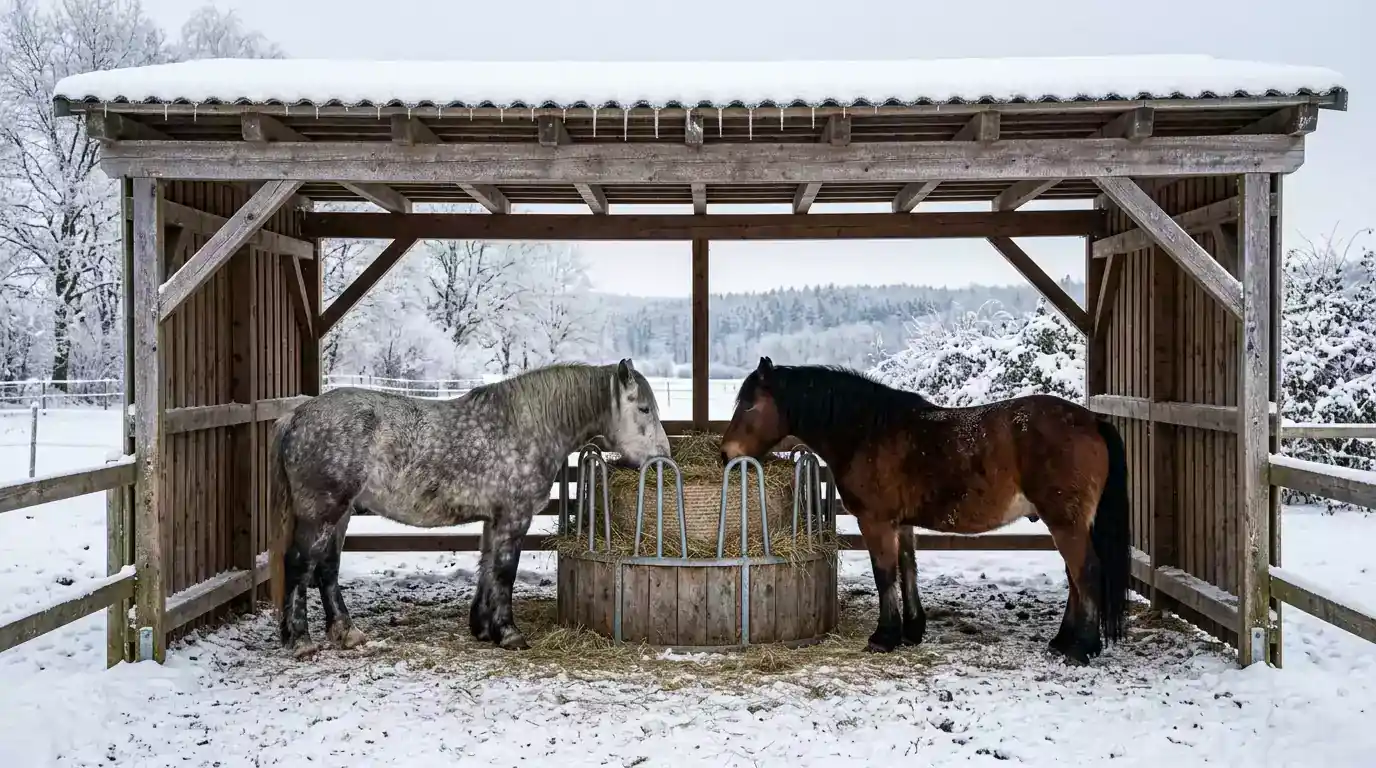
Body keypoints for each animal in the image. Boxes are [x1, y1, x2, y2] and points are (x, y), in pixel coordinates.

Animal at [268, 359, 671, 658]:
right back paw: (301, 641)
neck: (527, 426)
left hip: (340, 514)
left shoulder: (494, 520)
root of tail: (296, 415)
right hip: (322, 513)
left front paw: (482, 627)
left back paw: (347, 633)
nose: (663, 458)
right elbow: (505, 573)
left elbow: (487, 569)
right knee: (300, 564)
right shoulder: (513, 518)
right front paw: (509, 633)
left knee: (327, 568)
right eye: (643, 408)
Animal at [719, 357, 1129, 666]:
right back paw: (1063, 641)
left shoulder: (876, 522)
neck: (868, 431)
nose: (725, 454)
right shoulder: (901, 525)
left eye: (750, 404)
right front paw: (912, 630)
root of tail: (1092, 420)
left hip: (1065, 522)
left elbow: (885, 575)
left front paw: (884, 636)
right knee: (1075, 577)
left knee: (1086, 572)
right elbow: (908, 570)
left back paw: (1080, 648)